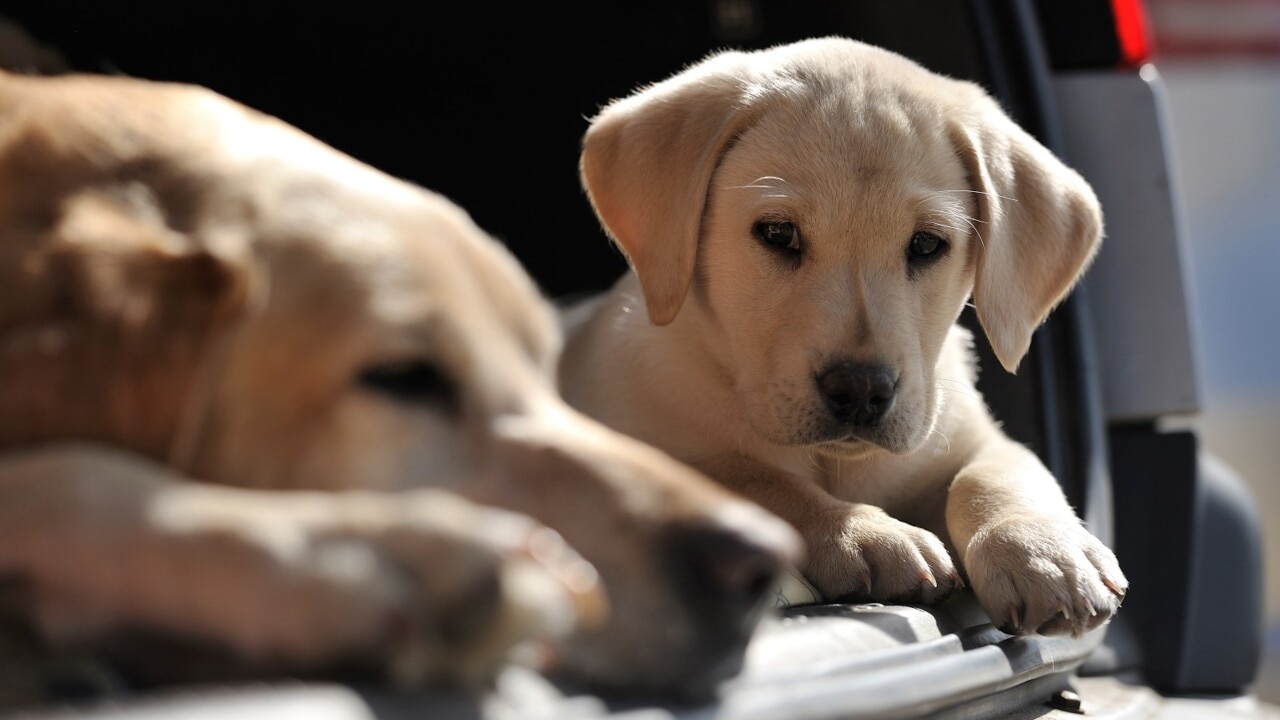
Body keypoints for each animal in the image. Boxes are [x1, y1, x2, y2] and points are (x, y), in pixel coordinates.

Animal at [560, 36, 1131, 635]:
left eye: (927, 244)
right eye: (777, 233)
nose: (860, 390)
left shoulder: (966, 438)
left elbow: (999, 472)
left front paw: (1041, 550)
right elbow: (750, 476)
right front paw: (866, 534)